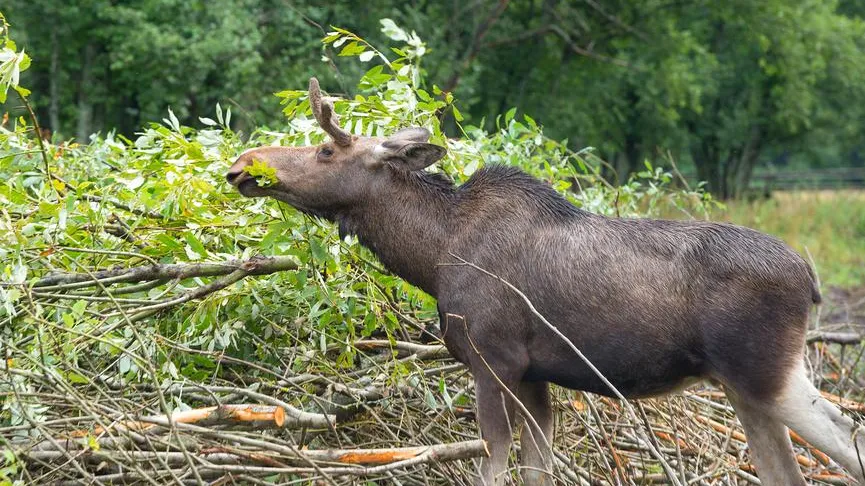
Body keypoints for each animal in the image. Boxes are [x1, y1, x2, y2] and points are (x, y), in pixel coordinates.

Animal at [228, 78, 864, 484]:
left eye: (325, 149)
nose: (242, 164)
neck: (433, 255)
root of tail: (810, 280)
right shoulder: (535, 377)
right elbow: (536, 470)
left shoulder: (494, 361)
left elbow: (491, 466)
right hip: (744, 387)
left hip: (764, 371)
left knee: (845, 433)